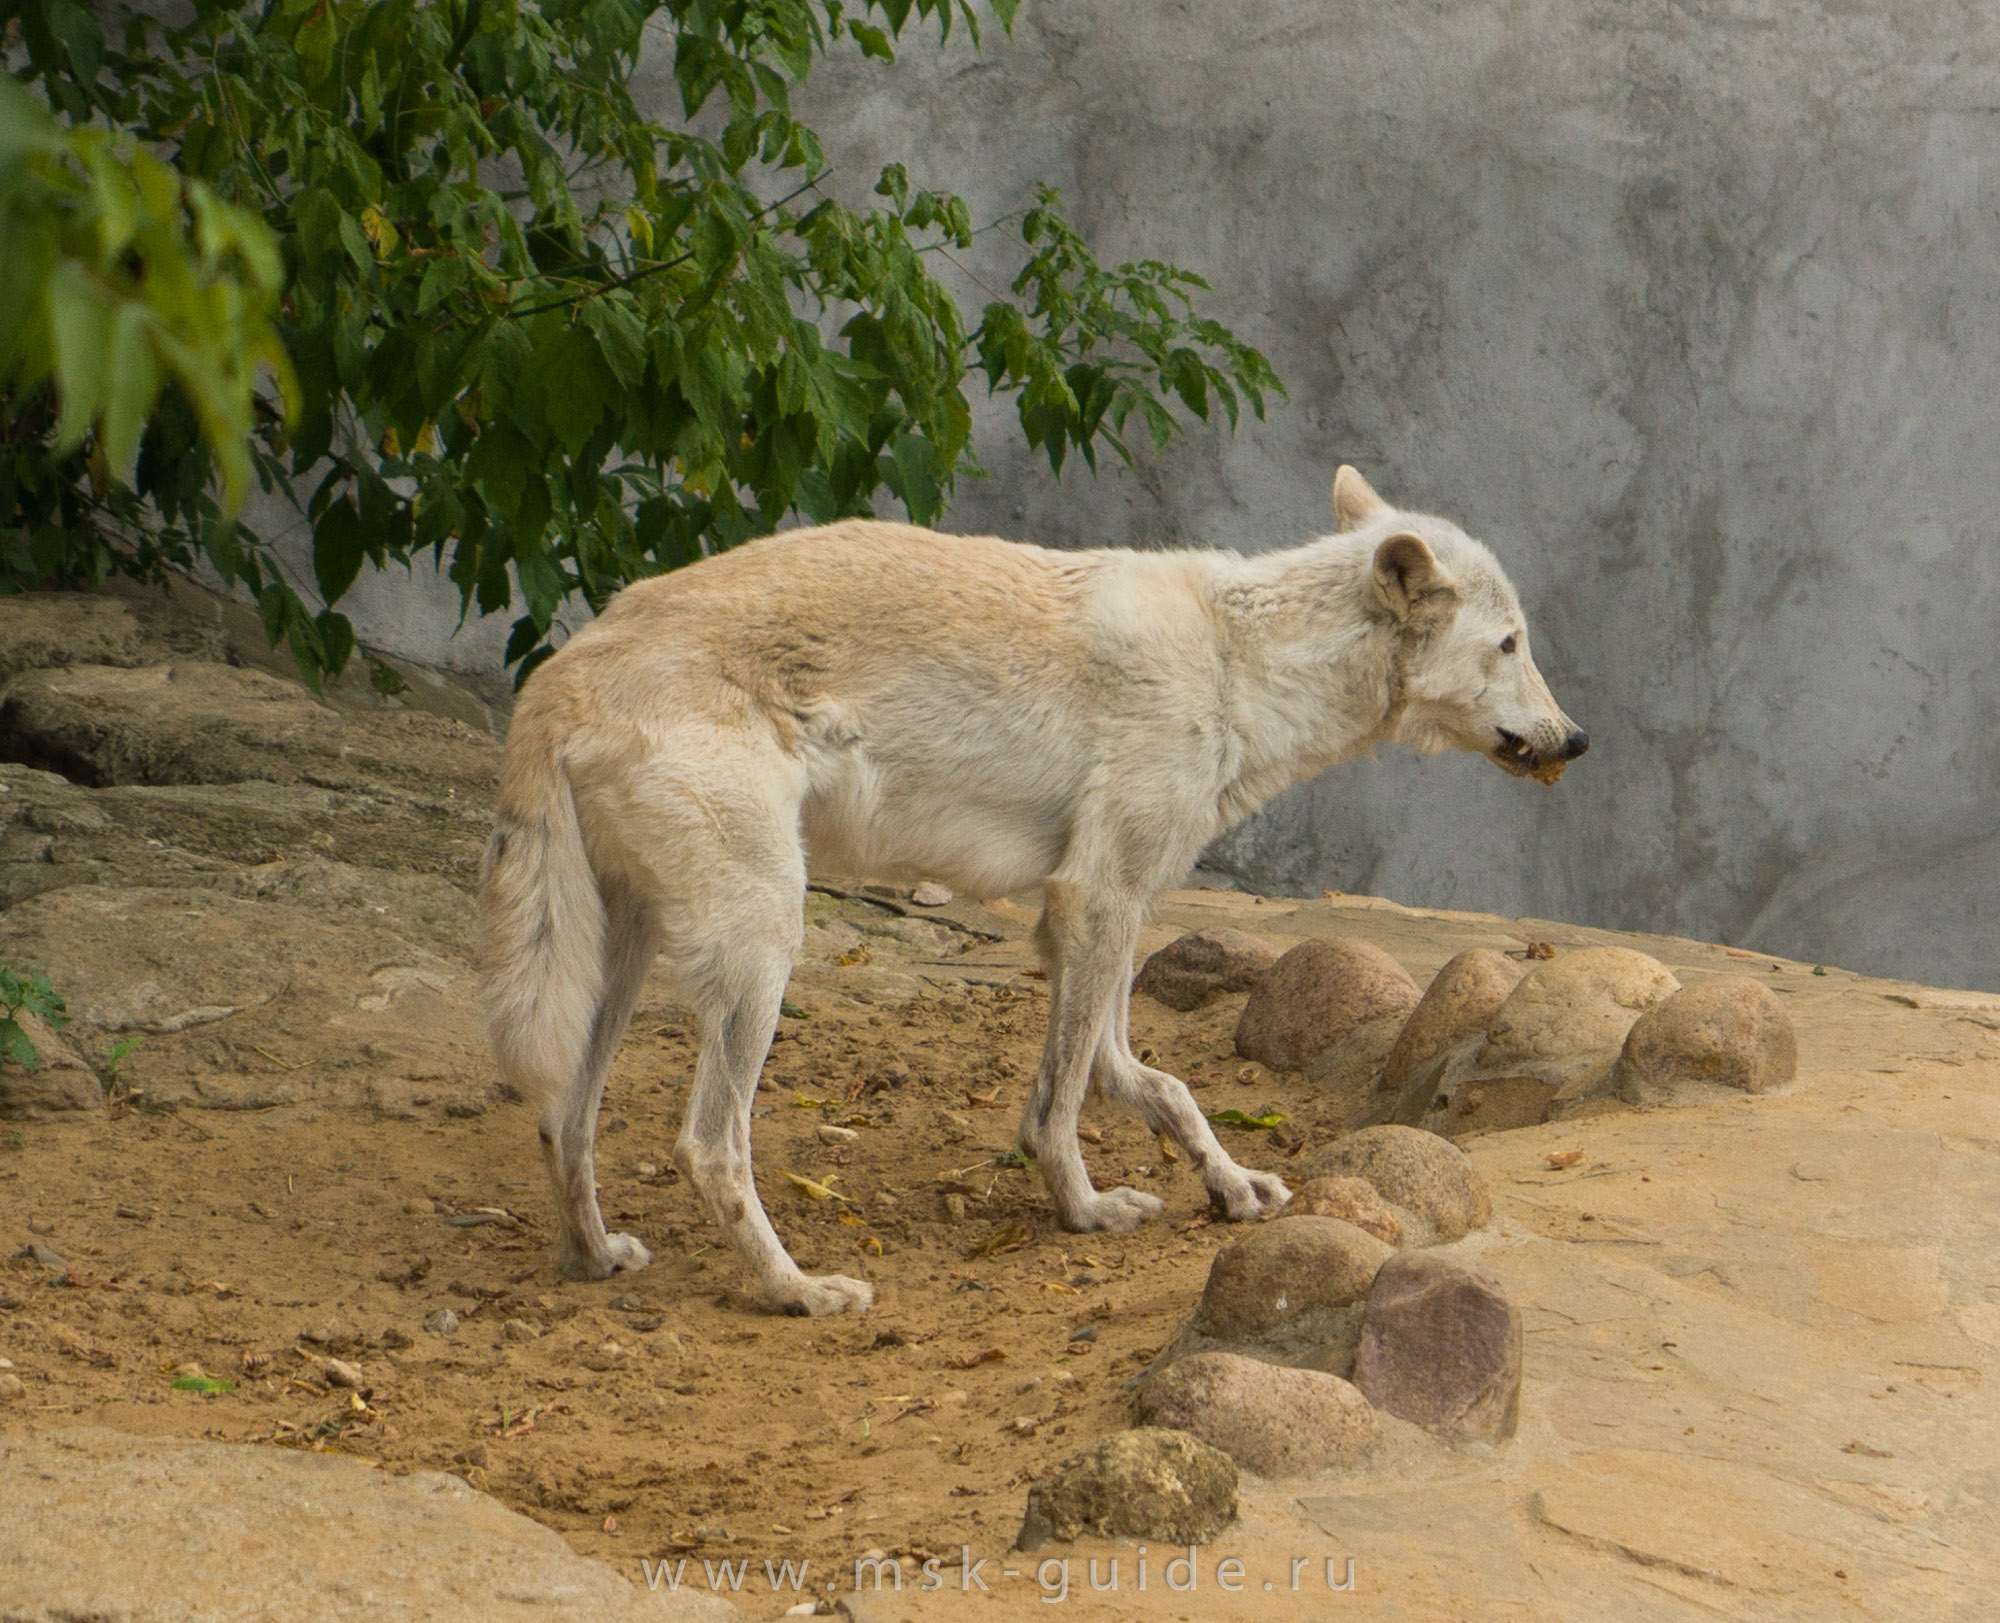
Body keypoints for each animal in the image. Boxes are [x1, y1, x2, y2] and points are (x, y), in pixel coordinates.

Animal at [480, 463, 1576, 1311]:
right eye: (1512, 643)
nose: (1578, 740)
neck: (1241, 668)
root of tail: (560, 671)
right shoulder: (1099, 899)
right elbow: (1060, 1107)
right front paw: (1084, 1212)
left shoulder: (1089, 916)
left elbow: (1142, 1079)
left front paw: (1229, 1186)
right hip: (763, 948)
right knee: (709, 1146)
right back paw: (797, 1290)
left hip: (623, 967)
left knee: (562, 1118)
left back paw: (593, 1258)